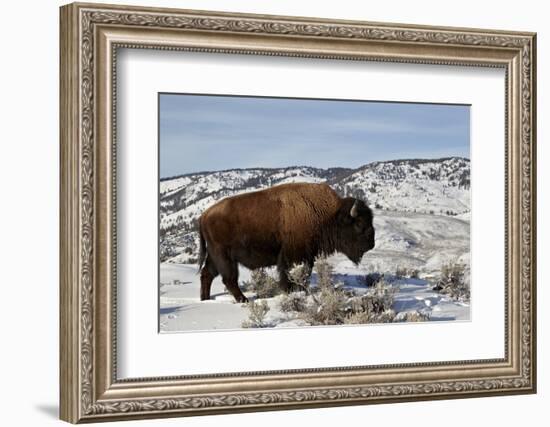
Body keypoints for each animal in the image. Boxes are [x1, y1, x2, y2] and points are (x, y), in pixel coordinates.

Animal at [198, 182, 376, 302]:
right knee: (228, 279)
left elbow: (304, 274)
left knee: (207, 274)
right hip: (224, 257)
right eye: (359, 224)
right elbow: (290, 274)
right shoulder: (292, 255)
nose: (371, 244)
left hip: (215, 256)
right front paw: (291, 291)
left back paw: (206, 299)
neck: (327, 214)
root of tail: (204, 215)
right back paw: (244, 300)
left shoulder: (308, 255)